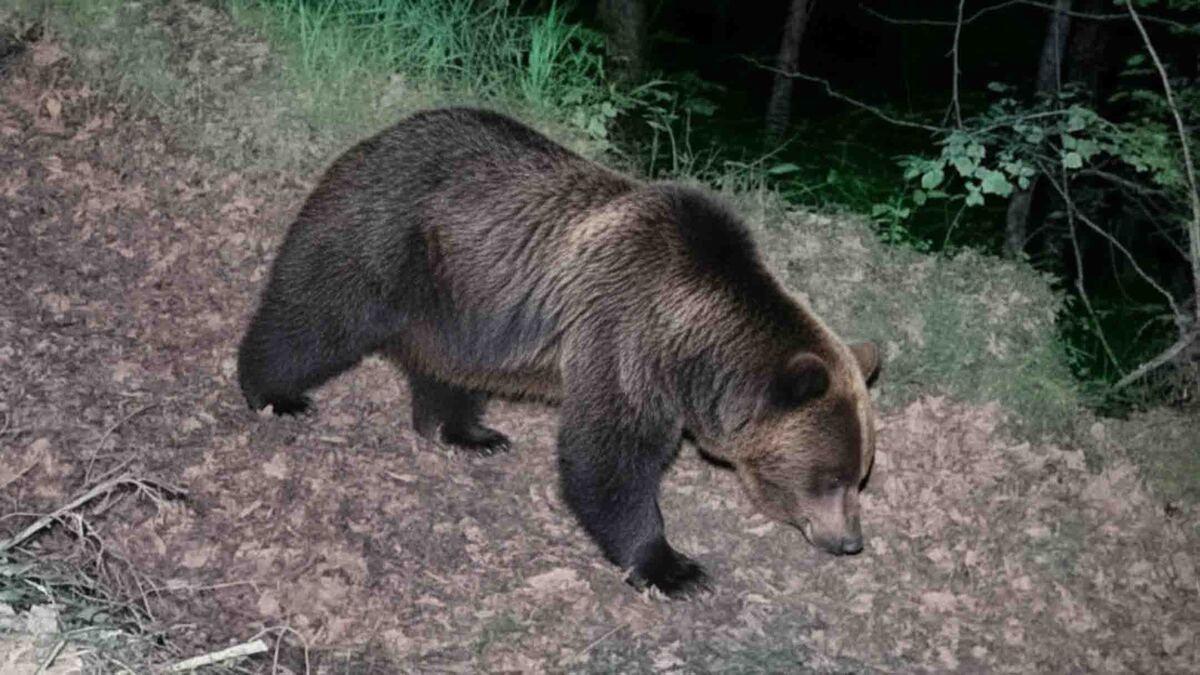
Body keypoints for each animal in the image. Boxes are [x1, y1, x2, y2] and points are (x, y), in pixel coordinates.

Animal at [237, 107, 880, 597]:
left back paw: (467, 432)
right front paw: (672, 567)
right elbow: (606, 458)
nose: (850, 541)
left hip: (455, 304)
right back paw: (273, 392)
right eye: (830, 477)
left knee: (444, 367)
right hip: (384, 239)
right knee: (319, 312)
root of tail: (377, 136)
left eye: (859, 475)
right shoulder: (624, 340)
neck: (694, 344)